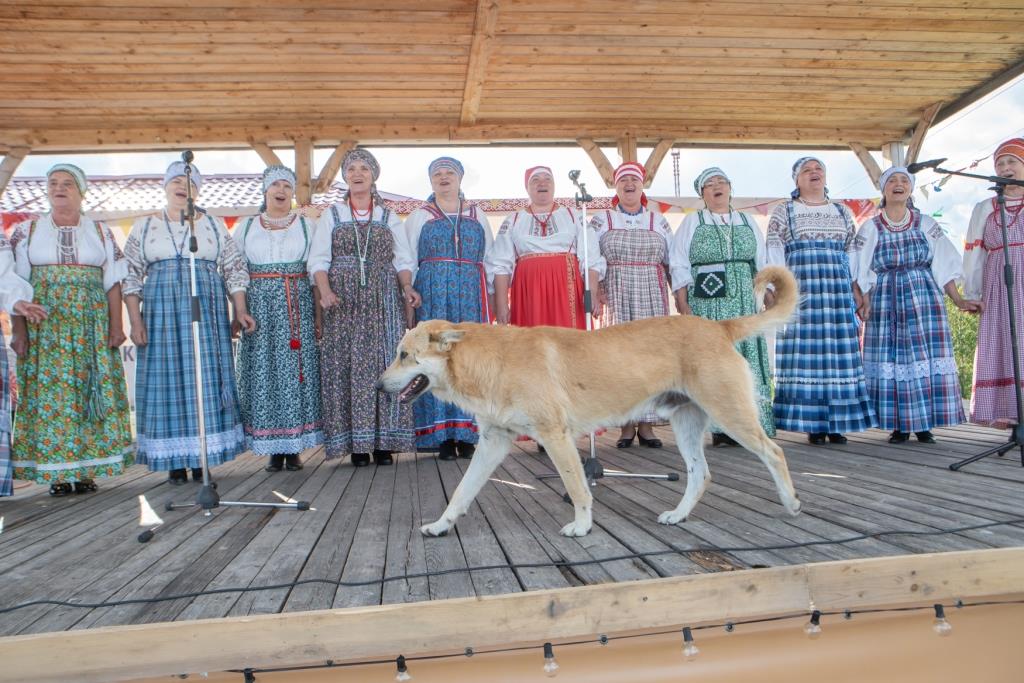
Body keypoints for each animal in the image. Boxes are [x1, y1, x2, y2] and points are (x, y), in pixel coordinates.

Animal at [376, 264, 798, 536]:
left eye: (404, 355)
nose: (377, 387)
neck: (492, 362)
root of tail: (718, 327)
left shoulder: (556, 436)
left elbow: (578, 487)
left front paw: (581, 526)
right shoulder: (494, 442)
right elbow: (462, 492)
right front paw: (440, 525)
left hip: (730, 414)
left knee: (774, 452)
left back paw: (791, 502)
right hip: (687, 424)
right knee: (700, 475)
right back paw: (678, 516)